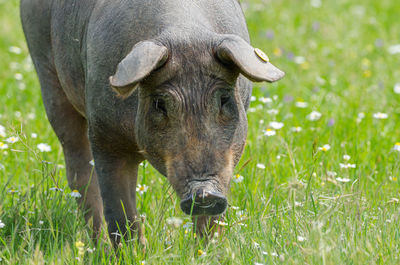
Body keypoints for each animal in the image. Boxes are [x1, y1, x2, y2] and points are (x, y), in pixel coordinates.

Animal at [21, 0, 284, 243]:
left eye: (224, 99)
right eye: (160, 104)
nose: (204, 193)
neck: (185, 32)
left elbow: (211, 220)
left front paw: (206, 251)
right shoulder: (105, 134)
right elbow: (121, 214)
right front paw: (133, 253)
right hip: (45, 69)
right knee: (79, 170)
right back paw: (98, 247)